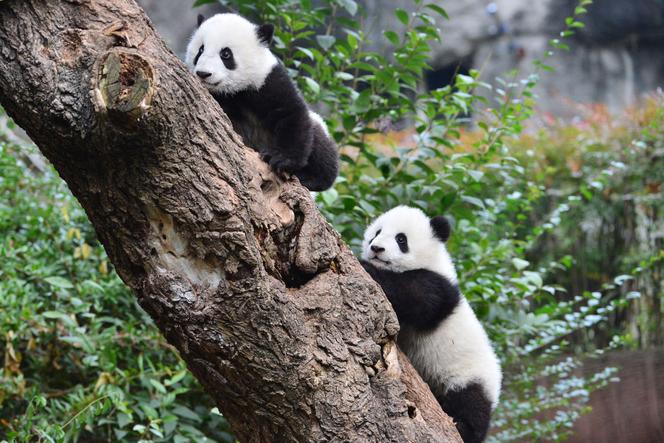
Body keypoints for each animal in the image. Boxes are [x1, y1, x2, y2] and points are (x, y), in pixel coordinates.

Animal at [185, 13, 339, 192]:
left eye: (226, 54)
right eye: (200, 50)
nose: (203, 73)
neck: (235, 91)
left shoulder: (269, 81)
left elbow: (291, 115)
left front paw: (280, 159)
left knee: (322, 147)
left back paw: (310, 177)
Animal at [360, 206, 502, 443]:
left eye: (401, 239)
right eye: (377, 232)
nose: (376, 248)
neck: (430, 261)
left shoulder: (437, 287)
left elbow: (414, 296)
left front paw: (368, 268)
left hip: (469, 375)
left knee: (471, 403)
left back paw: (463, 426)